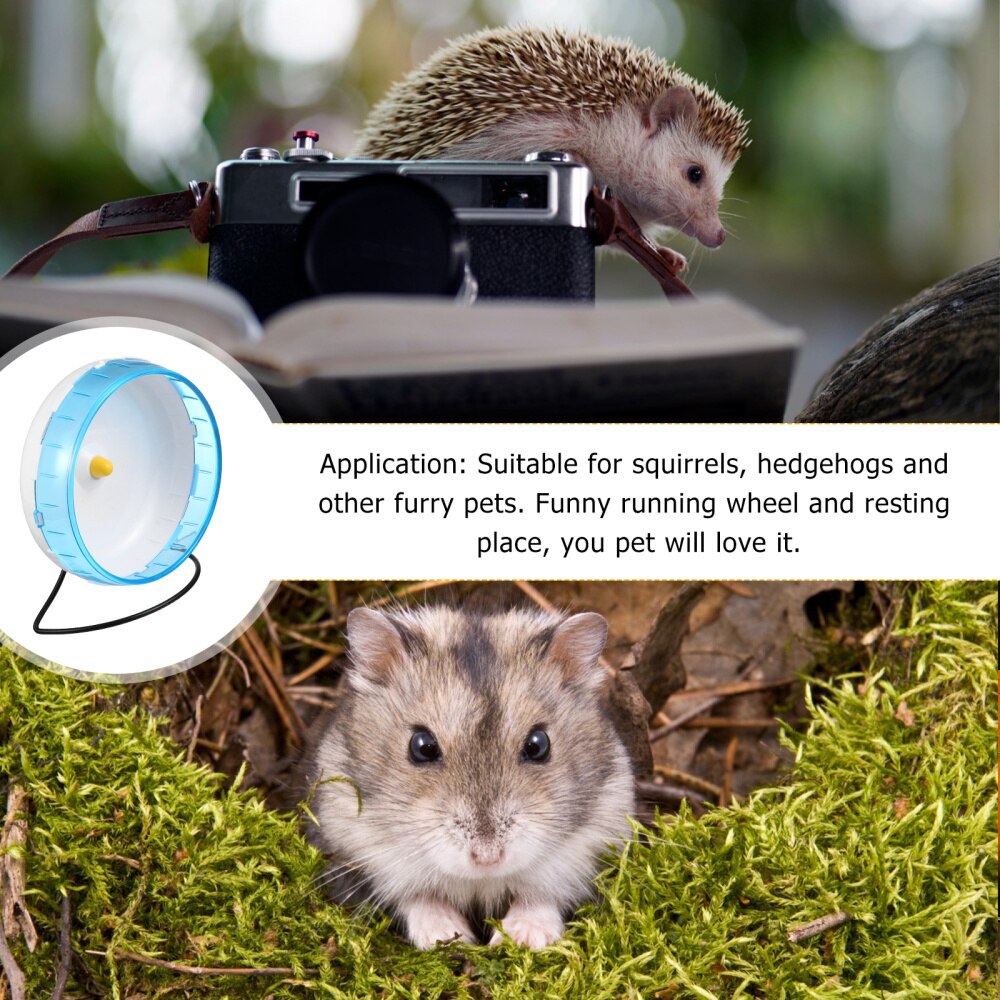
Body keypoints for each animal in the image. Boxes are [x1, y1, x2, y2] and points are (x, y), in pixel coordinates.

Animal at [304, 604, 635, 950]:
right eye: (421, 746)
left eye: (538, 744)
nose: (487, 858)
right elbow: (418, 897)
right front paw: (450, 937)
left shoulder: (590, 842)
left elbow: (541, 895)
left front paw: (521, 938)